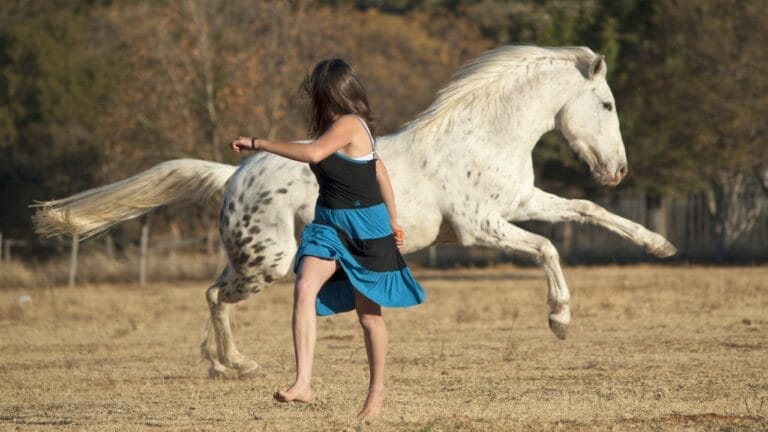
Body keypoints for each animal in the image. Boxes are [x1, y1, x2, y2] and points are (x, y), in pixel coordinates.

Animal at [34, 45, 677, 379]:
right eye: (607, 103)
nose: (617, 169)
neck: (481, 137)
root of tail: (233, 175)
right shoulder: (482, 228)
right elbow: (547, 246)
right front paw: (560, 320)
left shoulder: (523, 202)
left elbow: (588, 212)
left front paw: (659, 246)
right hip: (269, 264)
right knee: (214, 297)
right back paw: (237, 365)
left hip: (251, 258)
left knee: (214, 297)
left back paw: (223, 365)